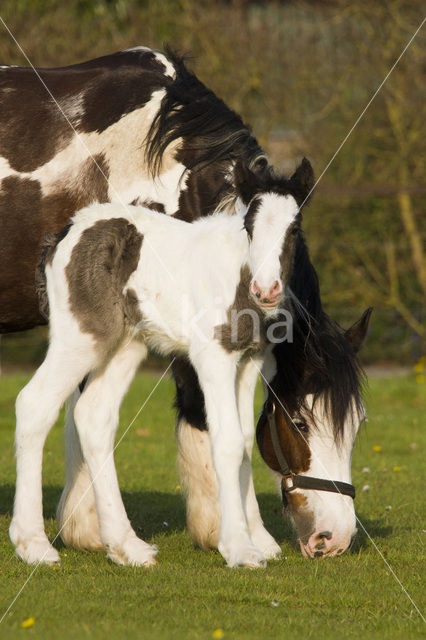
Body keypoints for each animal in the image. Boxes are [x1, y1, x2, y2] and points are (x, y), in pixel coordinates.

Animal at [10, 158, 314, 568]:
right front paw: (238, 546)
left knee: (93, 416)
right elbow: (227, 441)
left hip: (126, 345)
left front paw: (261, 541)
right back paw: (33, 544)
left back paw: (127, 546)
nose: (266, 290)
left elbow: (246, 442)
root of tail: (63, 234)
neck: (238, 277)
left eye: (293, 228)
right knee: (34, 404)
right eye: (249, 227)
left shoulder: (250, 362)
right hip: (81, 339)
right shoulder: (213, 359)